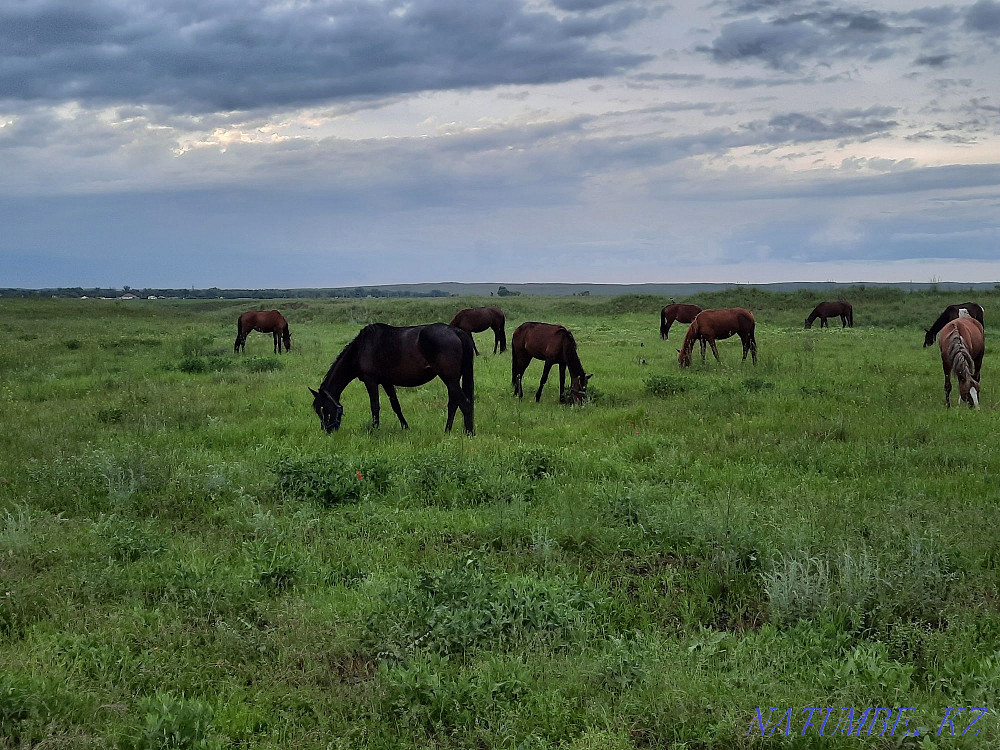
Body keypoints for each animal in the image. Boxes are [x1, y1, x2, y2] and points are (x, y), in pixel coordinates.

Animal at [310, 323, 475, 434]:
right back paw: (447, 431)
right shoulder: (386, 382)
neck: (361, 349)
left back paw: (469, 433)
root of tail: (456, 331)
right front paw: (405, 427)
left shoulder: (371, 380)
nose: (327, 430)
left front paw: (374, 429)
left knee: (464, 403)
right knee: (453, 404)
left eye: (323, 409)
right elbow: (396, 405)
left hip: (449, 379)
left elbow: (375, 406)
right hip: (453, 379)